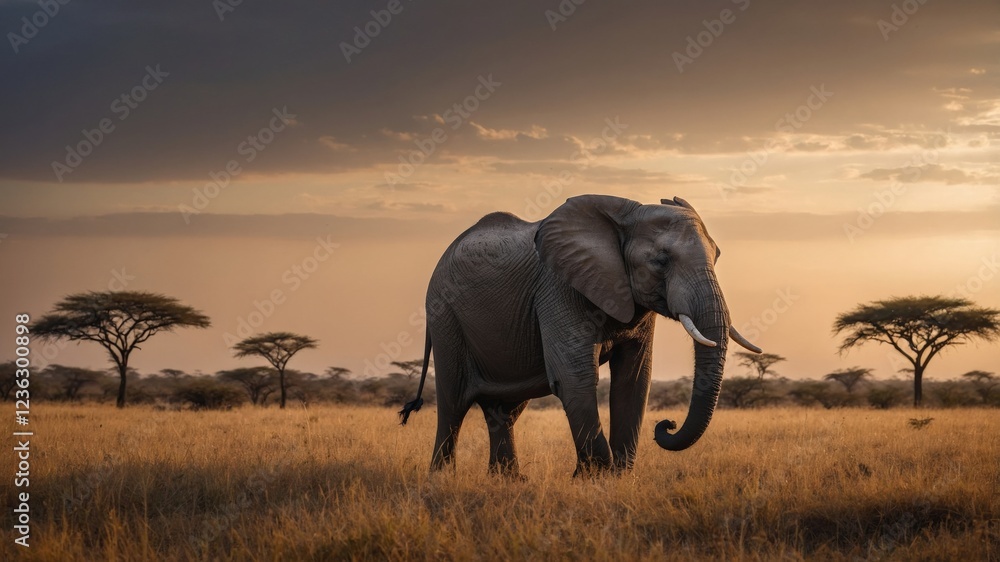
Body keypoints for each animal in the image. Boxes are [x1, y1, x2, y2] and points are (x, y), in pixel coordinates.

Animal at [399, 194, 761, 476]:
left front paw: (618, 477)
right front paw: (594, 479)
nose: (666, 425)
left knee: (503, 410)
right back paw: (443, 478)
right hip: (445, 317)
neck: (627, 214)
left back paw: (508, 481)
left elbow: (634, 379)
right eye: (661, 261)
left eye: (717, 256)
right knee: (453, 403)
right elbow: (573, 376)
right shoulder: (558, 287)